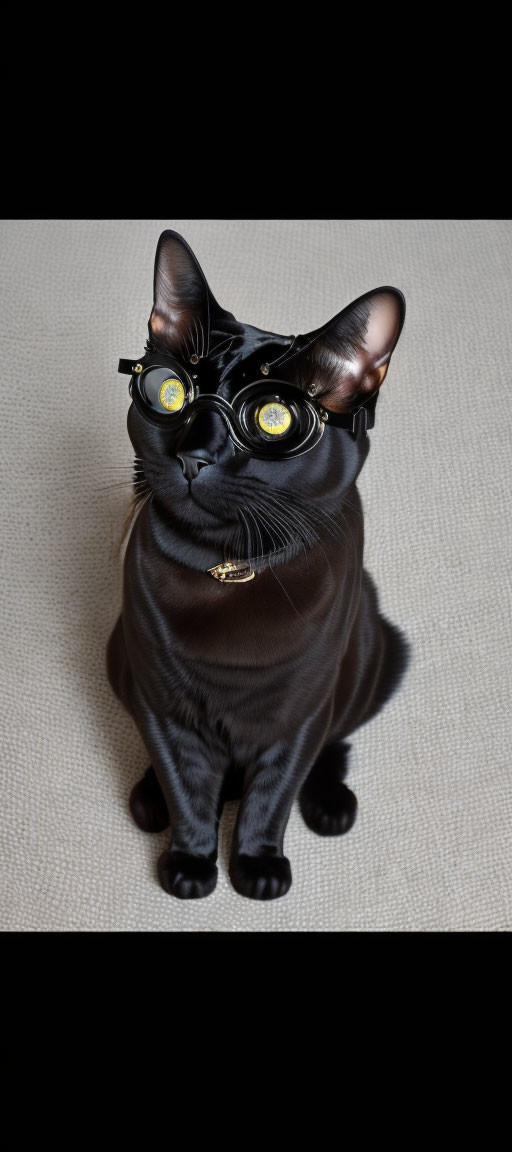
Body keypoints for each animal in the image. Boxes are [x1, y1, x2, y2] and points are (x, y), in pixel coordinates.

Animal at [106, 231, 410, 898]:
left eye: (273, 418)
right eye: (169, 393)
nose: (194, 455)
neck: (228, 569)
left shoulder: (302, 711)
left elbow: (274, 791)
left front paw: (259, 869)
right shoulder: (162, 703)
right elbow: (185, 783)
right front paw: (190, 865)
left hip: (373, 653)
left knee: (335, 743)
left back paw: (330, 806)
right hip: (119, 657)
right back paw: (149, 801)